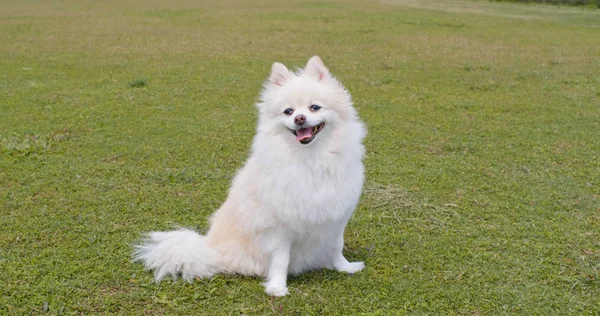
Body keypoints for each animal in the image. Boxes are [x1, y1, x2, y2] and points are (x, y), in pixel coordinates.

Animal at [135, 55, 366, 296]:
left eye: (315, 107)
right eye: (288, 111)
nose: (300, 118)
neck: (310, 157)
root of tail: (209, 248)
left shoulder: (335, 218)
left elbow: (336, 246)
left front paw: (345, 268)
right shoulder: (279, 226)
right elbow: (281, 259)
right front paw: (277, 288)